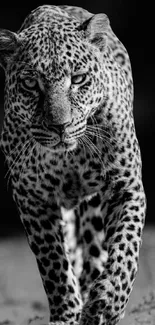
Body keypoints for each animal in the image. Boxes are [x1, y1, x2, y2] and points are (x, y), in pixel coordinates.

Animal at [0, 5, 147, 324]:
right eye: (31, 83)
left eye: (78, 79)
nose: (60, 126)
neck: (70, 156)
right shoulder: (32, 198)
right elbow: (54, 263)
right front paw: (66, 313)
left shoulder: (126, 186)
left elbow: (126, 250)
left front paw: (109, 302)